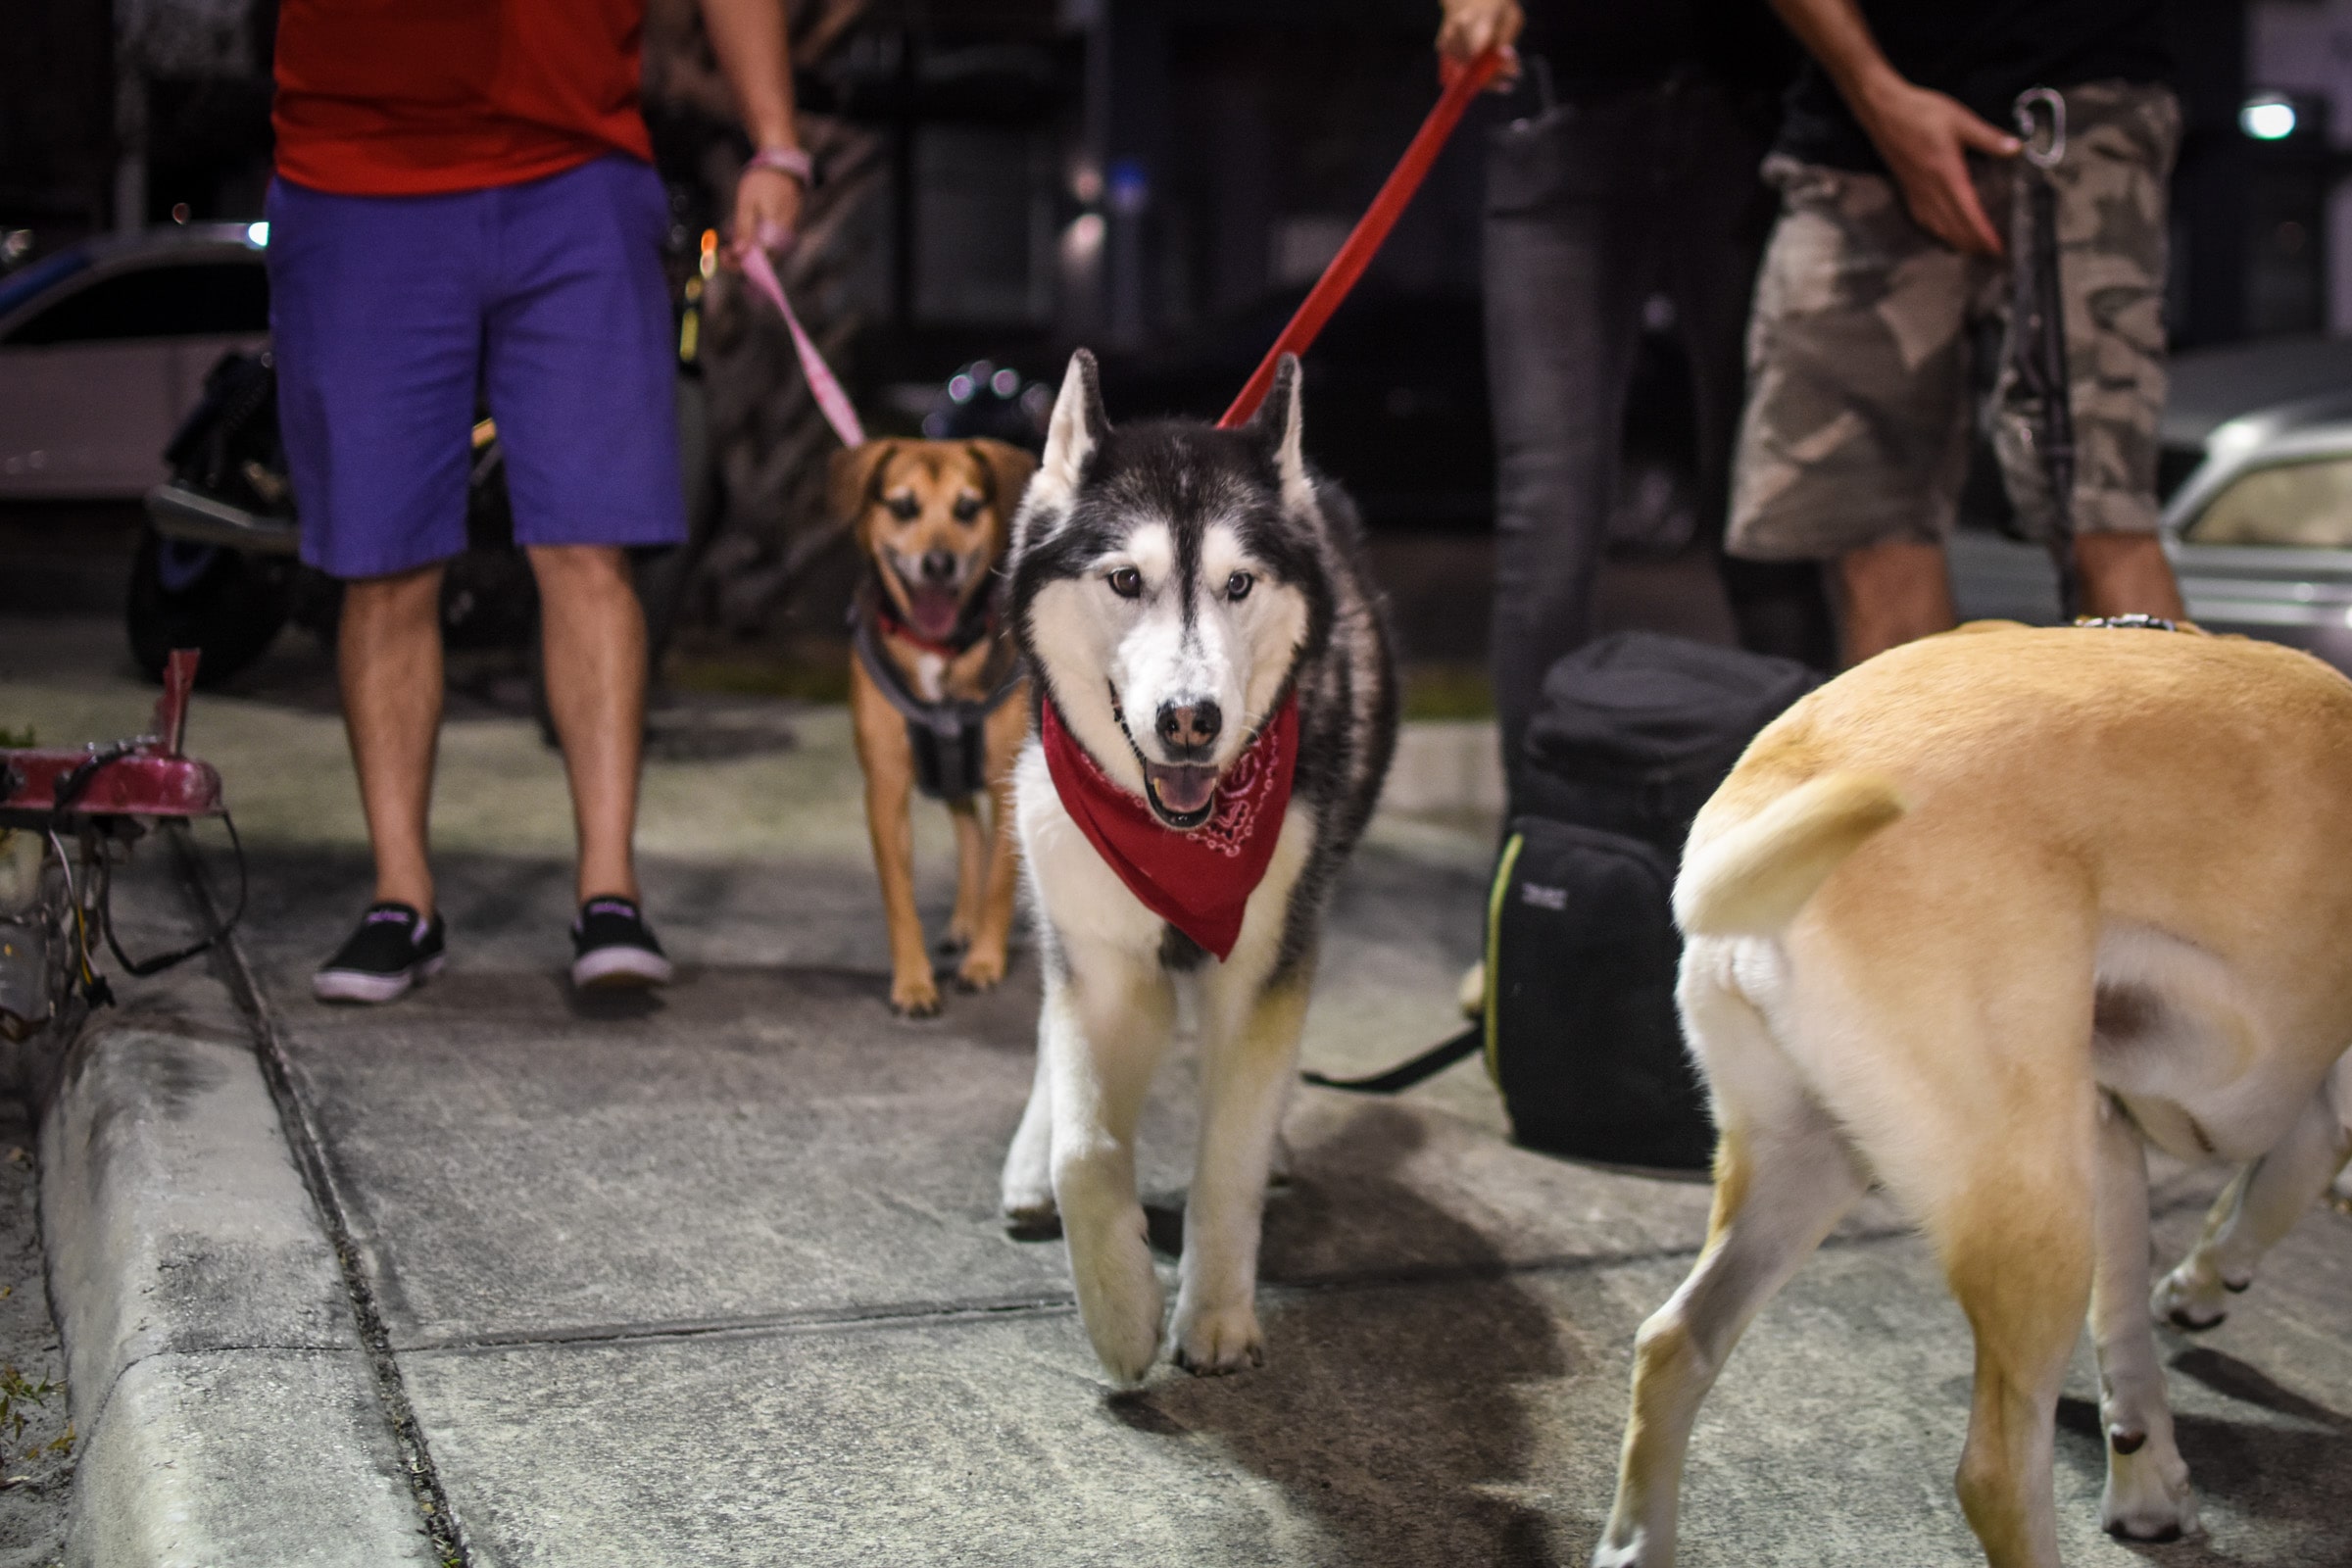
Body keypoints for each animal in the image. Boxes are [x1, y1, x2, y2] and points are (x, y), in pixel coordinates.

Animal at [837, 439, 1039, 1020]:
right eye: (903, 506)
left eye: (967, 508)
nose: (938, 565)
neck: (939, 647)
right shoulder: (885, 789)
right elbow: (900, 896)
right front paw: (913, 982)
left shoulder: (1006, 780)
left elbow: (999, 880)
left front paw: (985, 962)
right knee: (971, 834)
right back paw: (963, 923)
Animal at [1599, 625, 2352, 1568]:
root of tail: (1777, 779)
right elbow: (2268, 1195)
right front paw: (2208, 1281)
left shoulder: (2104, 1128)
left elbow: (2129, 1335)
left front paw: (2146, 1475)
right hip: (2032, 1213)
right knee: (1993, 1474)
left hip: (1816, 1159)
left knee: (1673, 1342)